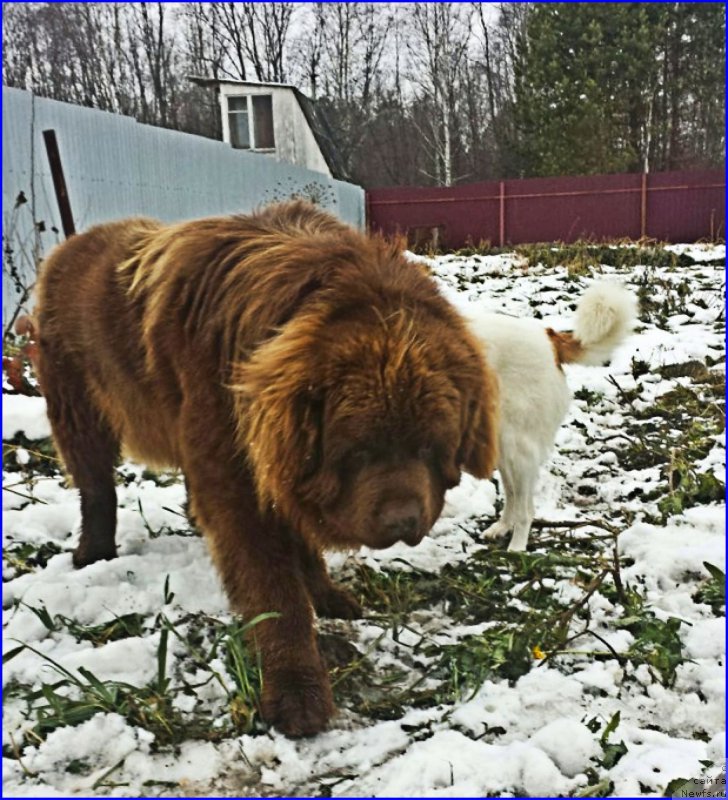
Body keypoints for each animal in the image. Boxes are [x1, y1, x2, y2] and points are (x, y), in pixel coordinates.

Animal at [34, 202, 500, 736]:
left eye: (427, 447)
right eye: (359, 452)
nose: (403, 520)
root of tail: (70, 246)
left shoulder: (275, 466)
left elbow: (301, 539)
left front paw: (325, 593)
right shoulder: (238, 475)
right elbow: (273, 588)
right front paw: (297, 691)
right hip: (77, 404)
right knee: (95, 486)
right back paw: (93, 552)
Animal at [470, 284, 636, 552]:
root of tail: (549, 338)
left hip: (518, 446)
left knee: (526, 510)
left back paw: (516, 548)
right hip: (505, 446)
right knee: (514, 496)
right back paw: (502, 527)